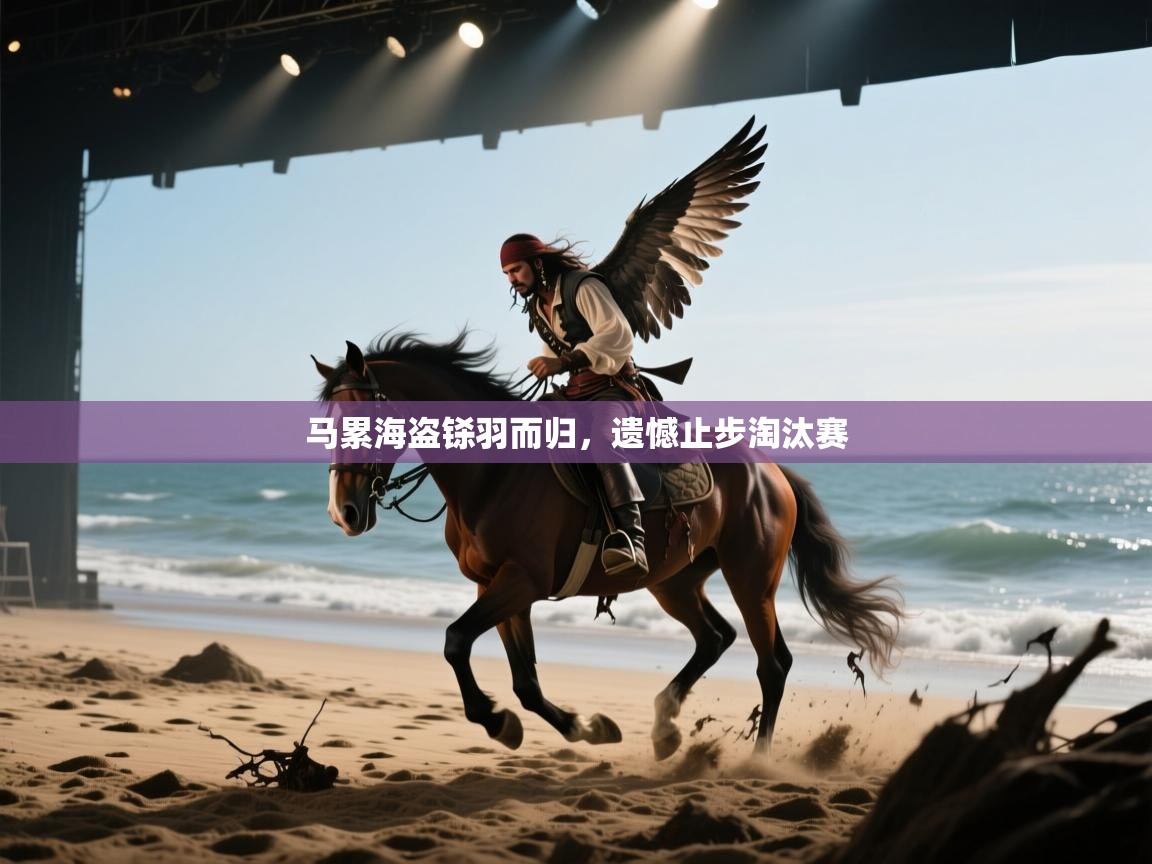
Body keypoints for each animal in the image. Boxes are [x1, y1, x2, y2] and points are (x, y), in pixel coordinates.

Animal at [314, 332, 903, 759]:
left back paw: (754, 760)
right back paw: (665, 728)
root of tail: (771, 472)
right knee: (715, 638)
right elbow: (524, 681)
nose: (344, 514)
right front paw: (581, 727)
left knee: (772, 665)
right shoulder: (499, 587)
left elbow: (456, 640)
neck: (494, 472)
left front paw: (498, 720)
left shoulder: (520, 581)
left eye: (365, 419)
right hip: (676, 582)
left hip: (750, 578)